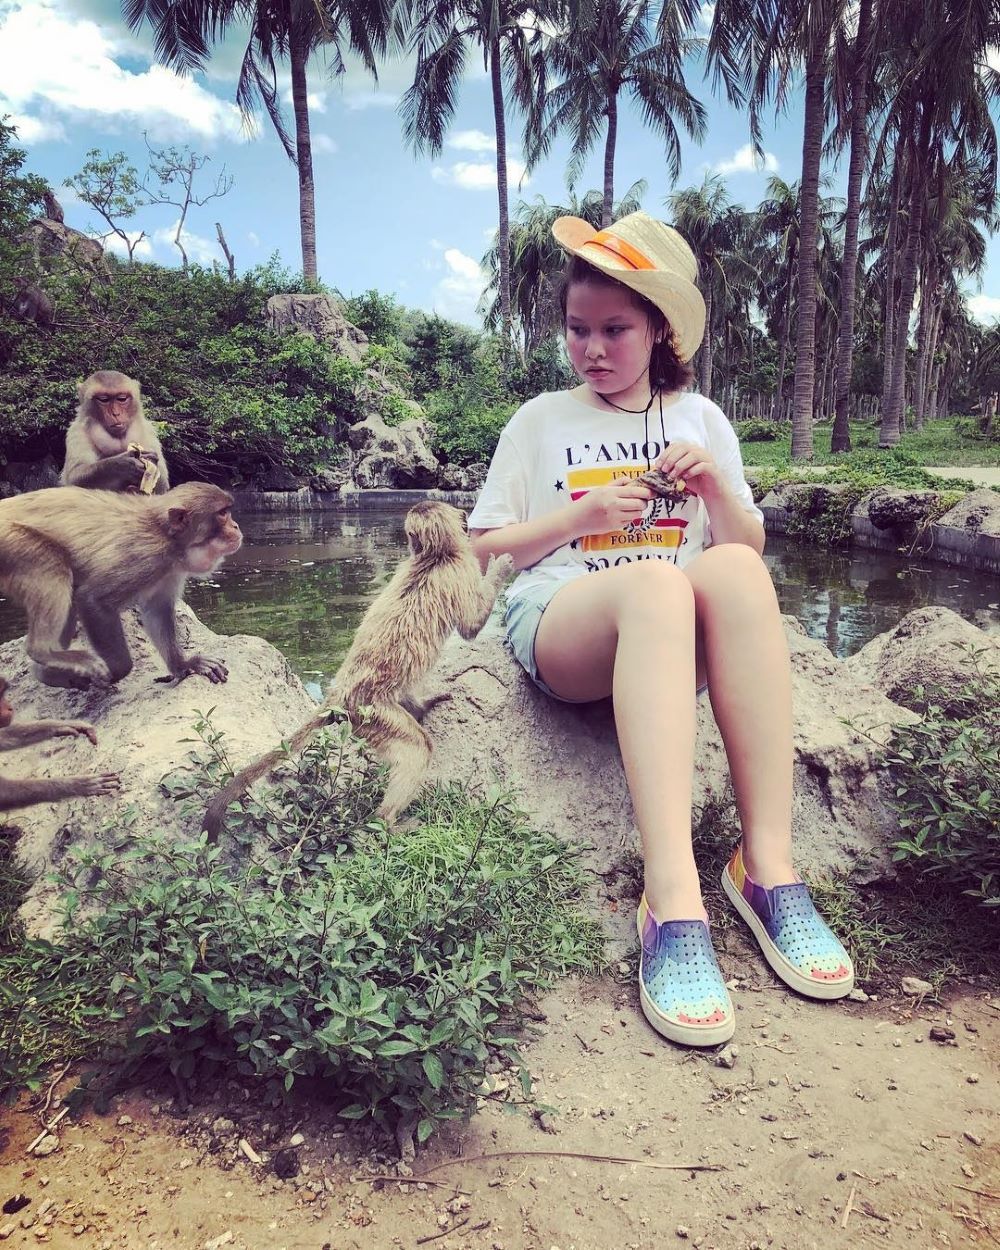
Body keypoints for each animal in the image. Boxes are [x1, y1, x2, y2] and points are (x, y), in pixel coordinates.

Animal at [0, 483, 243, 691]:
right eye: (222, 513)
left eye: (229, 511)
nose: (236, 525)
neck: (167, 536)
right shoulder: (145, 556)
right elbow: (93, 600)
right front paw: (114, 671)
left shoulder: (170, 569)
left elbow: (157, 610)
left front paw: (185, 665)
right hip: (12, 540)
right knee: (52, 562)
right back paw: (45, 652)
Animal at [203, 501, 514, 842]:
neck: (433, 557)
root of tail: (340, 695)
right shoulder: (459, 569)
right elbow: (471, 628)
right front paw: (500, 569)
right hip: (371, 714)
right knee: (417, 749)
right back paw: (387, 821)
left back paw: (419, 707)